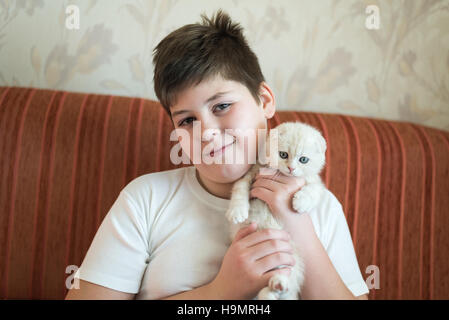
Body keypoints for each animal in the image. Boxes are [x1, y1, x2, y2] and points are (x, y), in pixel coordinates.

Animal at [224, 122, 326, 300]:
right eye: (283, 155)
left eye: (303, 160)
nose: (291, 168)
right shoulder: (251, 173)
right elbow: (240, 187)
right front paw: (237, 211)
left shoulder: (315, 182)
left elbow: (313, 190)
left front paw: (300, 203)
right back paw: (274, 288)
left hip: (290, 258)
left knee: (286, 281)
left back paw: (279, 284)